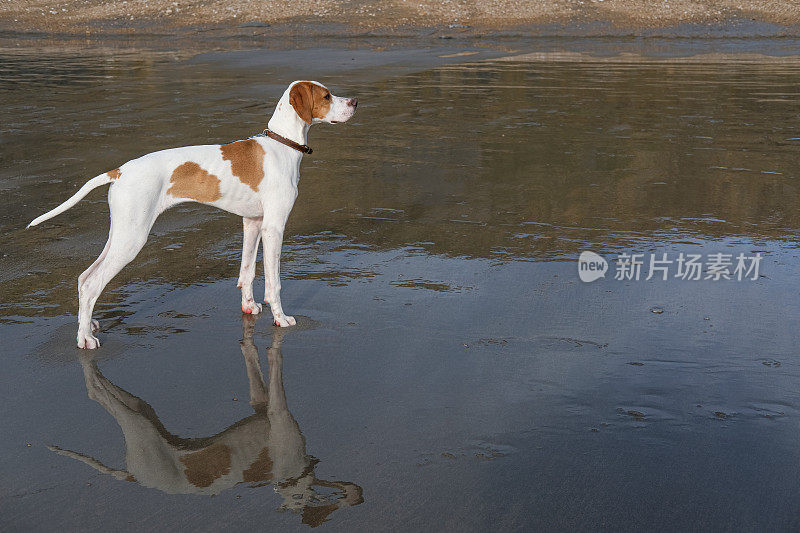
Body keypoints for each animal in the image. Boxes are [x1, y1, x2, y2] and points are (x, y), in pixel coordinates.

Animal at [28, 78, 358, 344]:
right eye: (327, 96)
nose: (355, 102)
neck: (282, 145)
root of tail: (119, 171)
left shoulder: (253, 223)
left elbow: (247, 271)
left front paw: (249, 307)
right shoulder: (274, 227)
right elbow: (274, 282)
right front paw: (281, 318)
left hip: (120, 234)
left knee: (84, 279)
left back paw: (88, 325)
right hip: (132, 239)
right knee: (92, 282)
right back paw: (84, 338)